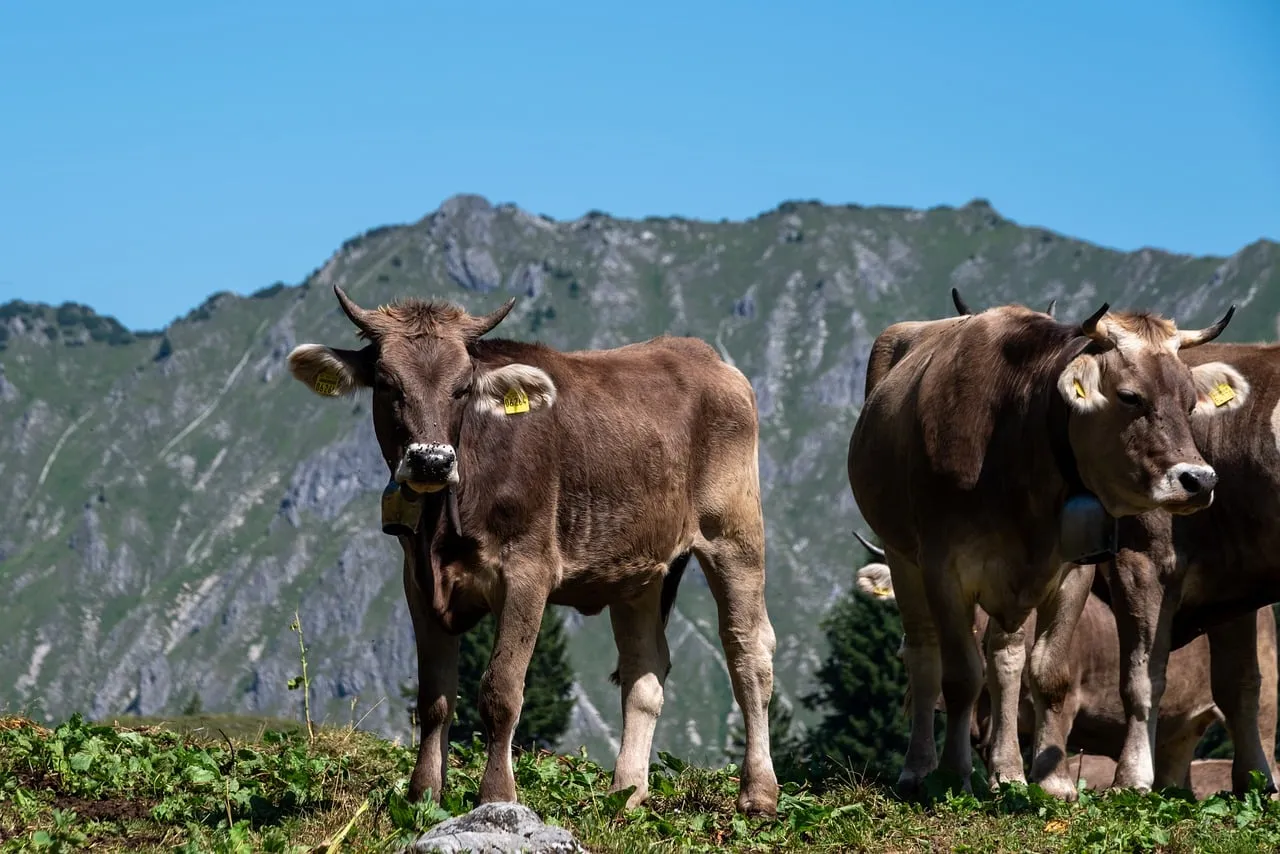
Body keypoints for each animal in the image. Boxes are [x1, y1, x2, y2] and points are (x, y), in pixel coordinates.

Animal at [287, 286, 780, 815]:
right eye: (386, 382)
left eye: (462, 386)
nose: (431, 461)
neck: (444, 526)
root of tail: (703, 355)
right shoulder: (417, 579)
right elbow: (434, 698)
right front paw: (424, 795)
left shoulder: (528, 570)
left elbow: (501, 690)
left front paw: (497, 794)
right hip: (641, 568)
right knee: (644, 667)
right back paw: (625, 793)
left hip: (734, 532)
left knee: (749, 651)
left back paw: (758, 792)